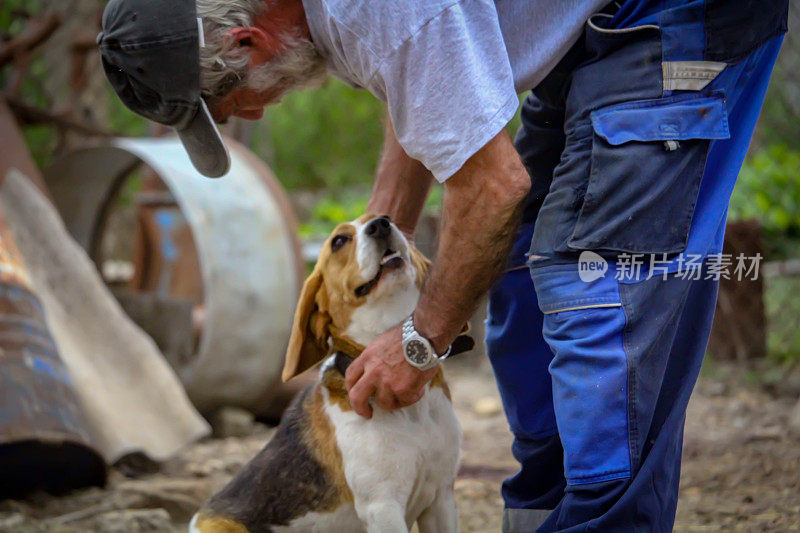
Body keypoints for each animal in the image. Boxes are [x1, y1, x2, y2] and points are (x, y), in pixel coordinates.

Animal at [192, 213, 468, 532]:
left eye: (389, 218)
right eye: (339, 241)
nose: (381, 224)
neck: (413, 409)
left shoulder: (441, 498)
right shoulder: (383, 506)